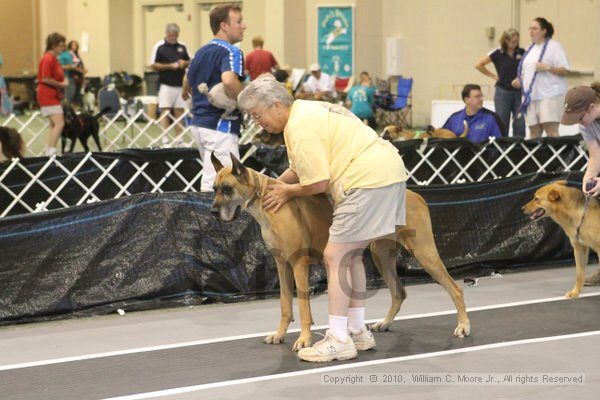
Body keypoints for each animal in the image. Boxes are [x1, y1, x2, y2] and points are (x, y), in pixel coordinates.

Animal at [211, 152, 468, 350]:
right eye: (214, 189)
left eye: (227, 188)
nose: (213, 212)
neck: (264, 201)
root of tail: (416, 195)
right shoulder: (282, 264)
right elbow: (285, 304)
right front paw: (280, 334)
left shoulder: (299, 264)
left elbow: (303, 306)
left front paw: (304, 339)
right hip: (381, 256)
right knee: (399, 292)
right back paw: (384, 323)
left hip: (425, 253)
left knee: (455, 289)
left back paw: (463, 325)